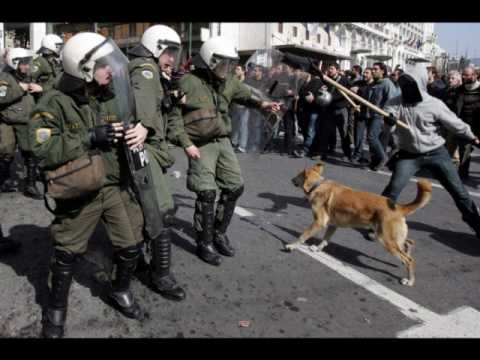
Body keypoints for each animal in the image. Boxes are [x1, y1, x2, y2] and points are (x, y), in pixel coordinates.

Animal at [286, 163, 434, 286]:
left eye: (298, 175)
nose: (291, 179)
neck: (317, 185)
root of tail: (399, 207)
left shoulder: (319, 223)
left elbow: (303, 236)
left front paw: (292, 246)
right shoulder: (333, 225)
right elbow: (325, 239)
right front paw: (317, 248)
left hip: (385, 239)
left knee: (410, 260)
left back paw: (410, 280)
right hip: (394, 237)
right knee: (408, 243)